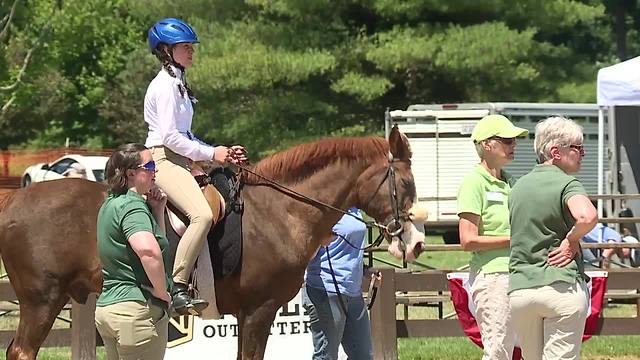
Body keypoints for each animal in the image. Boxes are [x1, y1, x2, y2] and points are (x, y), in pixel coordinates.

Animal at [0, 125, 424, 358]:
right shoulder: (258, 311)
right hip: (42, 301)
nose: (416, 243)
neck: (279, 211)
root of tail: (15, 200)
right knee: (22, 351)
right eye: (404, 185)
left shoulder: (247, 315)